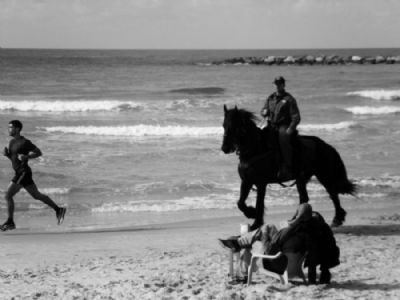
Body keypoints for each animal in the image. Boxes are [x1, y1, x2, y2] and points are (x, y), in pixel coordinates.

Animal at [222, 106, 356, 230]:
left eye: (234, 127)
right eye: (223, 125)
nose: (224, 148)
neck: (257, 149)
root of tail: (326, 146)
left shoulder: (261, 183)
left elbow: (259, 203)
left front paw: (256, 222)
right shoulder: (247, 181)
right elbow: (240, 202)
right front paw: (251, 213)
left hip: (324, 175)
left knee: (333, 194)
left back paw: (337, 219)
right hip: (302, 179)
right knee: (304, 198)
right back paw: (296, 219)